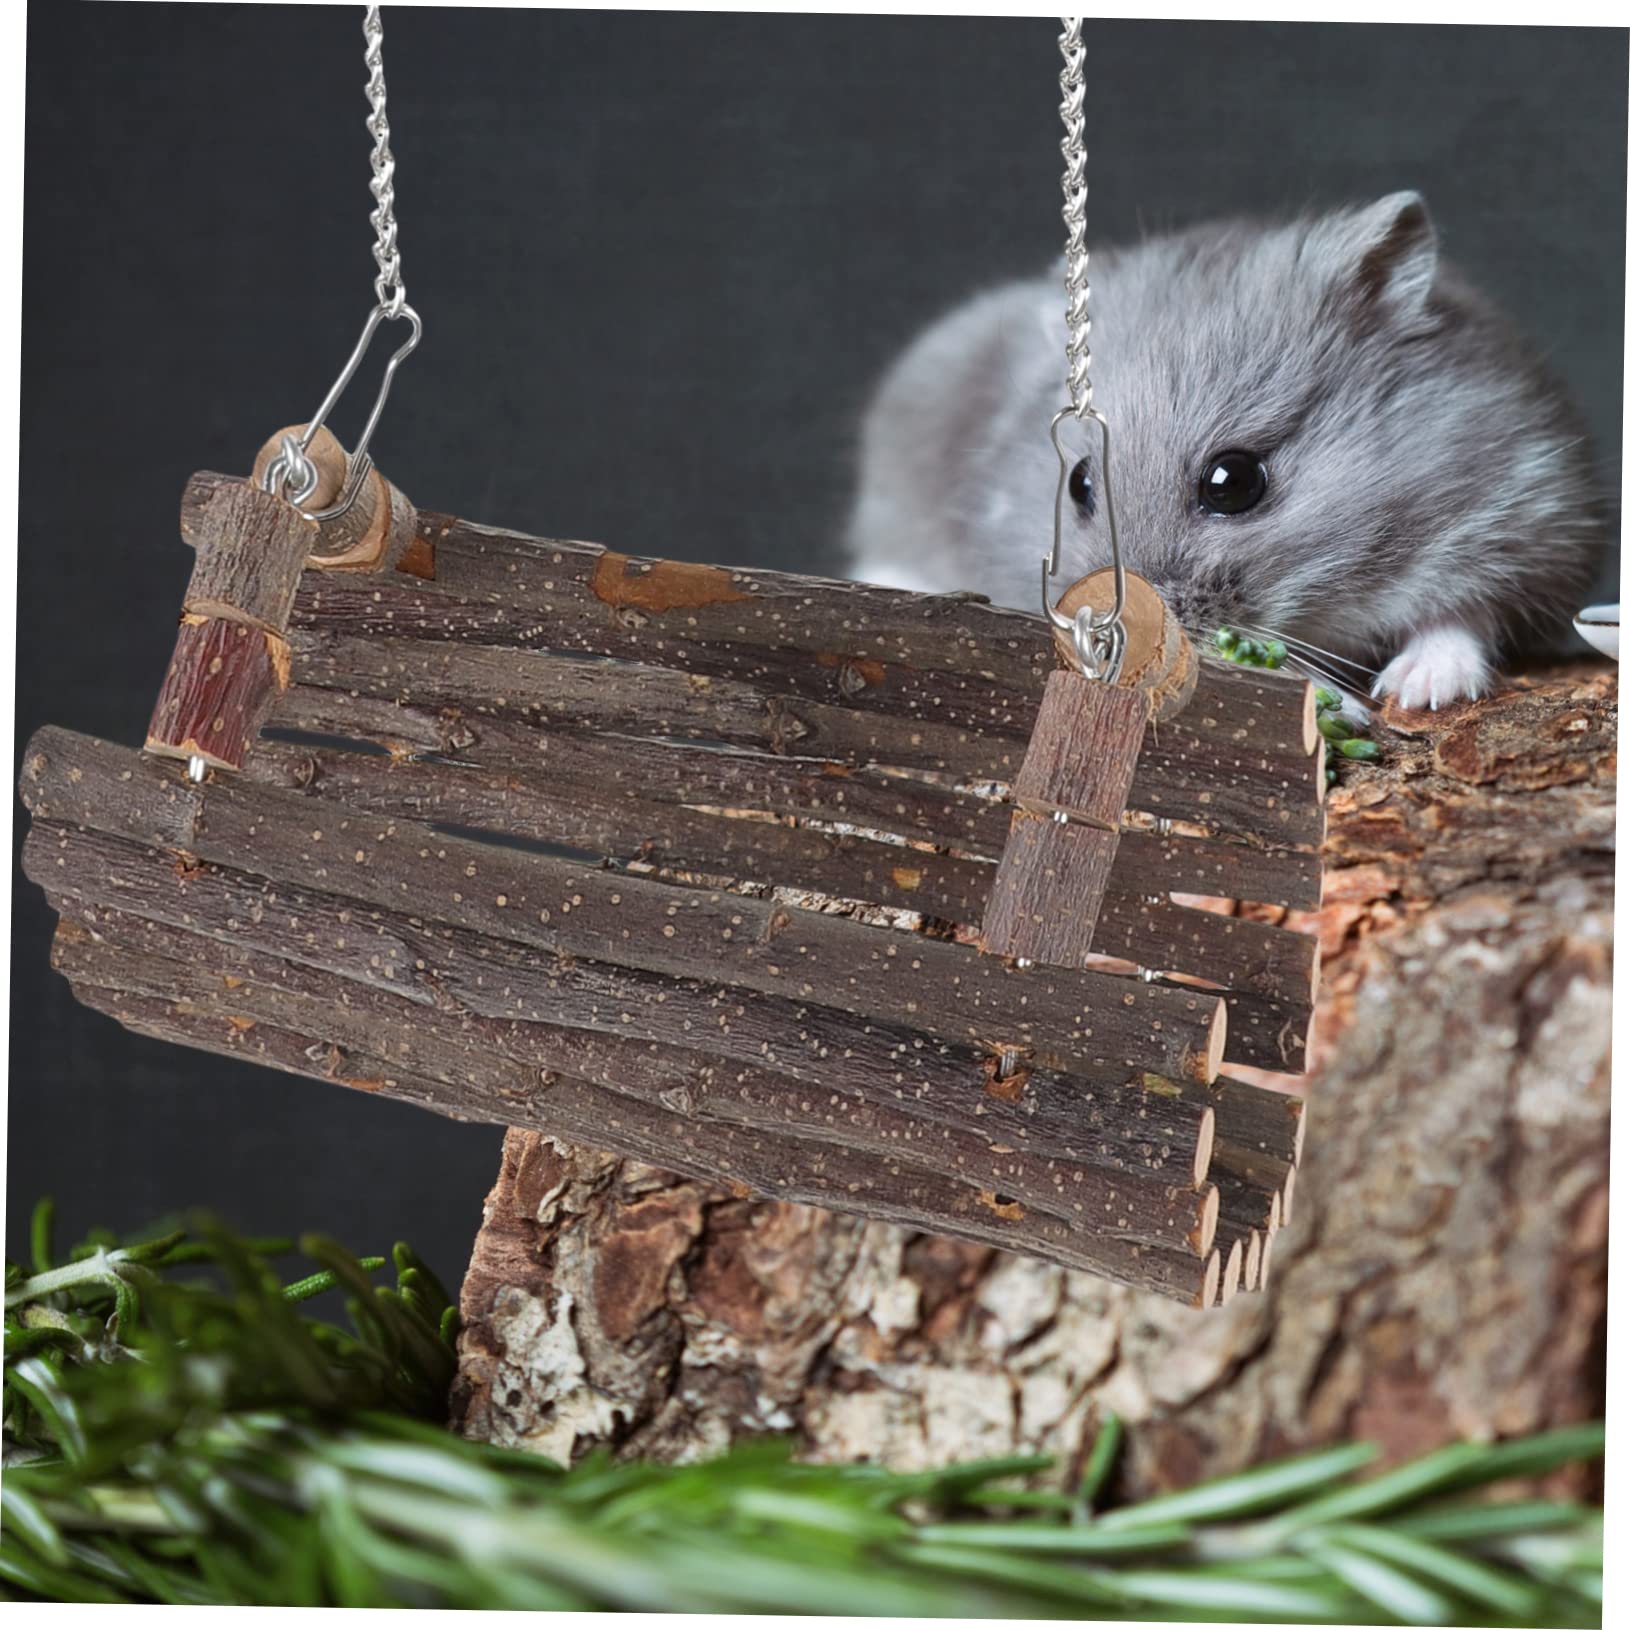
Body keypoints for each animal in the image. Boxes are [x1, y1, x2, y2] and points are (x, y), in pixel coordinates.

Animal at [846, 193, 1609, 710]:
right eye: (1079, 484)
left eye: (1233, 482)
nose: (1119, 640)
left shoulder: (1526, 511)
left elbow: (1462, 616)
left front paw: (1417, 691)